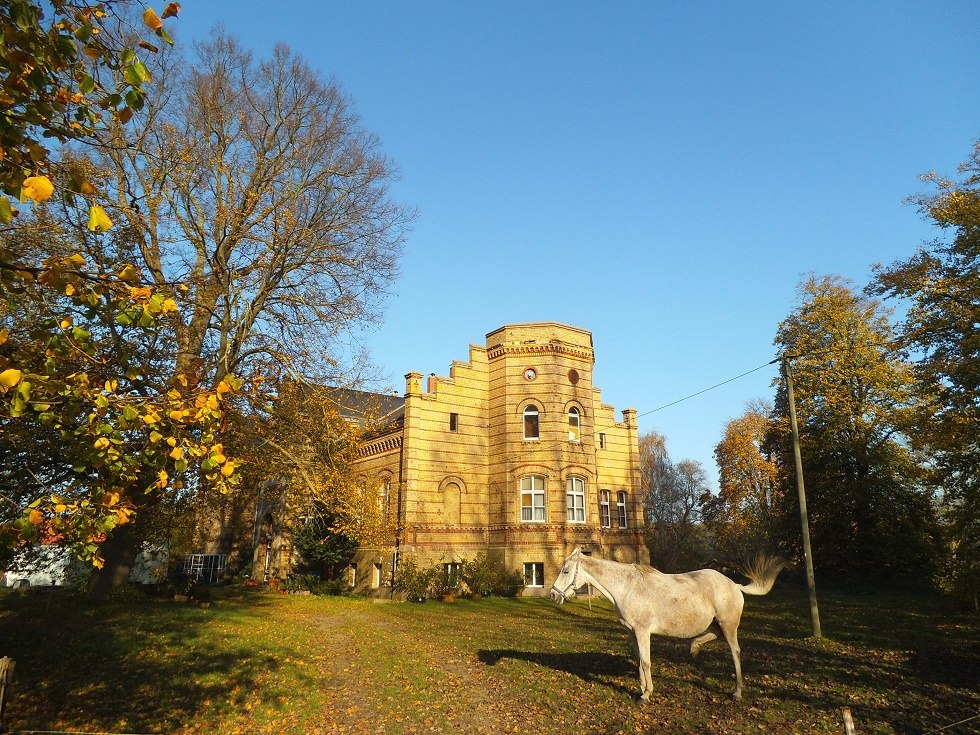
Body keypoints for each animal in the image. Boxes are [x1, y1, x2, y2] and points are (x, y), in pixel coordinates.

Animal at [552, 552, 788, 700]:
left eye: (565, 571)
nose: (553, 595)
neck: (628, 587)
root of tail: (734, 585)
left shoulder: (642, 631)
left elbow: (646, 662)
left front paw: (646, 695)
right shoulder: (632, 632)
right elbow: (639, 661)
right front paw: (641, 689)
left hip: (729, 625)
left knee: (735, 652)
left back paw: (737, 692)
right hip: (717, 623)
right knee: (713, 635)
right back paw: (694, 648)